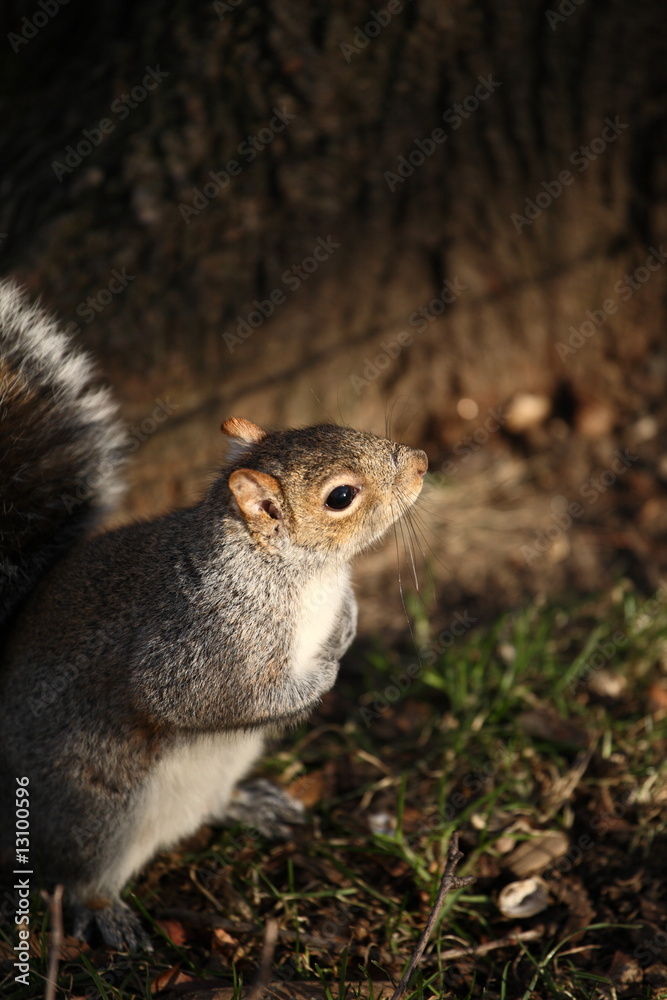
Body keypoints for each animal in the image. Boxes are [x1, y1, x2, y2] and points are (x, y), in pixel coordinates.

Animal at [0, 279, 427, 951]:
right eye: (341, 496)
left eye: (331, 424)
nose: (422, 461)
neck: (300, 572)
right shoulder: (198, 642)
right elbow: (199, 699)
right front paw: (321, 677)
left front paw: (348, 627)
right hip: (96, 815)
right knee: (72, 876)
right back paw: (105, 911)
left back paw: (251, 805)